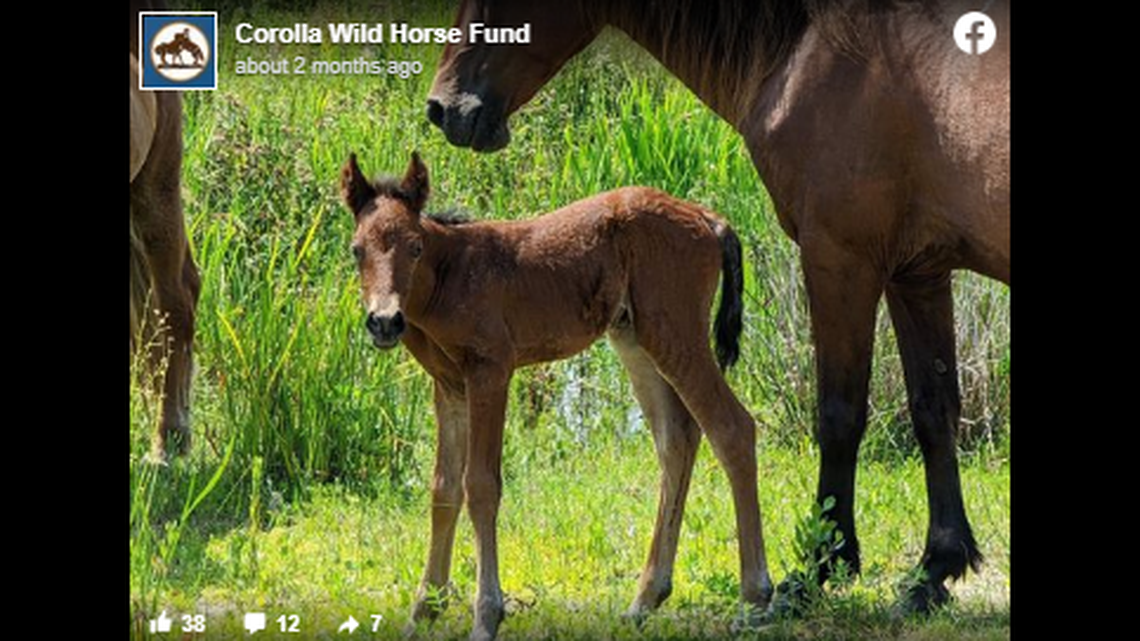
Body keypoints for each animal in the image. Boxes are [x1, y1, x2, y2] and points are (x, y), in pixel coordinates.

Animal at [342, 151, 770, 640]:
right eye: (357, 250)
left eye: (414, 247)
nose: (384, 322)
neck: (449, 279)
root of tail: (707, 217)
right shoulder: (448, 386)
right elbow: (443, 489)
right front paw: (423, 610)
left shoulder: (490, 372)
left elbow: (481, 486)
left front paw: (486, 615)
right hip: (634, 337)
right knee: (676, 438)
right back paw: (645, 598)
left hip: (676, 332)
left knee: (731, 428)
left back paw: (754, 597)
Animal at [425, 0, 1010, 615]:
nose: (444, 108)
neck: (820, 55)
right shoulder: (915, 273)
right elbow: (934, 410)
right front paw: (934, 569)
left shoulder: (840, 259)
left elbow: (839, 414)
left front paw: (820, 566)